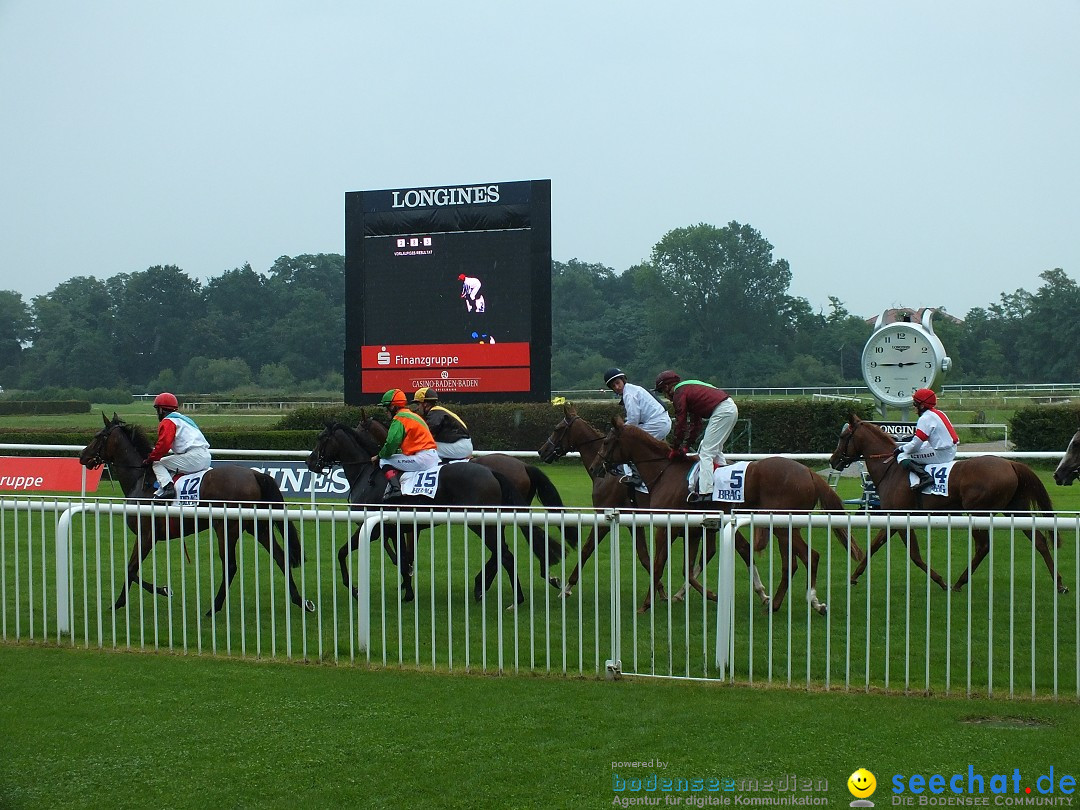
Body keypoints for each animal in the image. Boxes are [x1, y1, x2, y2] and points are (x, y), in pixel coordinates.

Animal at [78, 414, 315, 617]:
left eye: (98, 436)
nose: (82, 457)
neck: (140, 479)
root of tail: (255, 474)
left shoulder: (147, 535)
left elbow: (131, 568)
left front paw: (131, 599)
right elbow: (131, 569)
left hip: (226, 527)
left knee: (230, 566)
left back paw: (214, 608)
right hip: (258, 525)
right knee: (281, 558)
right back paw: (301, 601)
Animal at [302, 425, 557, 609]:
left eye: (320, 438)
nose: (310, 462)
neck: (367, 475)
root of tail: (493, 472)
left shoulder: (373, 528)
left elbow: (342, 552)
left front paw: (355, 589)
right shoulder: (397, 527)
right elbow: (403, 559)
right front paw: (407, 591)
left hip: (481, 522)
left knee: (505, 555)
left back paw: (514, 598)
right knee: (502, 552)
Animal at [591, 419, 859, 613]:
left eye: (606, 442)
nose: (594, 467)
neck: (664, 471)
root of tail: (809, 473)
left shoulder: (666, 526)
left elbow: (659, 564)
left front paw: (647, 604)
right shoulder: (693, 530)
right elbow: (688, 568)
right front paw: (709, 594)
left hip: (783, 524)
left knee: (807, 557)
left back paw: (807, 602)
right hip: (787, 526)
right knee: (794, 561)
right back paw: (780, 603)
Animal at [829, 414, 1067, 591]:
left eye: (842, 436)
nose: (833, 459)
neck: (891, 469)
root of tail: (1010, 464)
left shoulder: (901, 517)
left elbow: (914, 555)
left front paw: (940, 581)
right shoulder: (894, 518)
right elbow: (874, 546)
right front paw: (854, 576)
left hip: (979, 512)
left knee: (983, 546)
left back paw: (959, 582)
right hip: (1015, 509)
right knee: (1039, 540)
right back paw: (1059, 583)